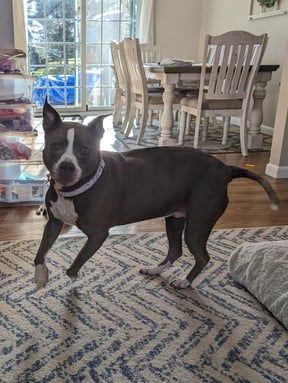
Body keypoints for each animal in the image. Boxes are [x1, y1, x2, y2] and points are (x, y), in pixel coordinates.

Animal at [34, 102, 280, 292]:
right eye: (56, 145)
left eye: (84, 150)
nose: (66, 166)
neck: (74, 189)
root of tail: (226, 169)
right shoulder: (53, 223)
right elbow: (40, 253)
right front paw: (40, 276)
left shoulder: (97, 235)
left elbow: (74, 264)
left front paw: (73, 278)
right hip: (175, 219)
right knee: (175, 250)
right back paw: (155, 269)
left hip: (198, 224)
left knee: (202, 256)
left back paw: (185, 282)